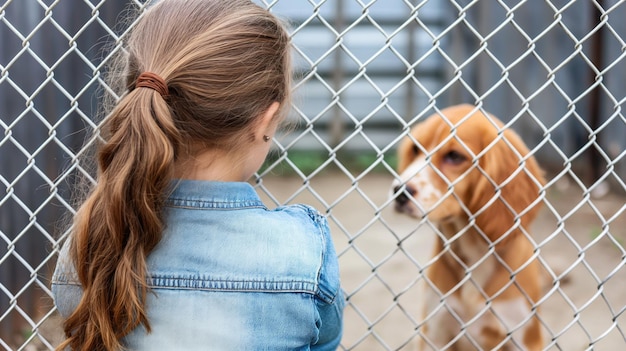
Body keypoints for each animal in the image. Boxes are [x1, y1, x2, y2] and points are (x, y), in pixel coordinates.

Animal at [392, 105, 544, 351]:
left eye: (454, 156)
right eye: (415, 149)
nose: (399, 191)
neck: (475, 250)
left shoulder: (524, 336)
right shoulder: (436, 330)